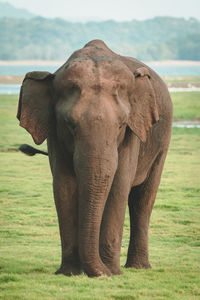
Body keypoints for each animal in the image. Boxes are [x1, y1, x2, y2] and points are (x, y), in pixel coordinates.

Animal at [17, 39, 173, 276]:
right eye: (70, 125)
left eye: (121, 125)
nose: (102, 272)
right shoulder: (54, 133)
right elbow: (63, 186)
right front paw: (69, 273)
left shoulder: (133, 133)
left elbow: (118, 186)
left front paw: (111, 273)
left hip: (162, 143)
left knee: (143, 199)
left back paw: (137, 267)